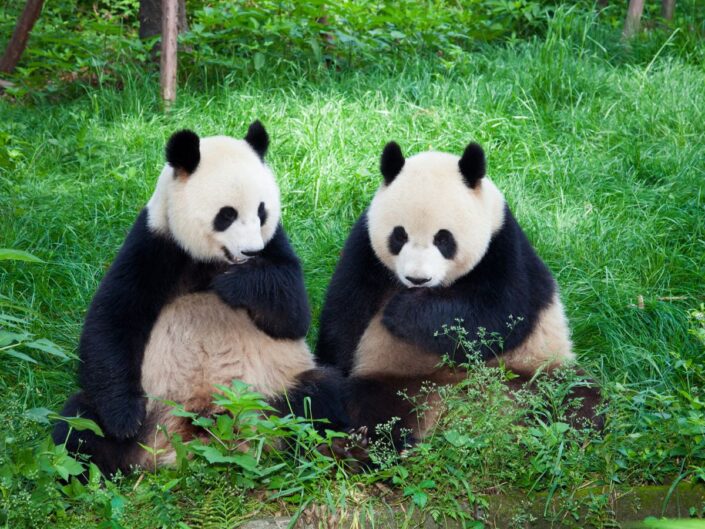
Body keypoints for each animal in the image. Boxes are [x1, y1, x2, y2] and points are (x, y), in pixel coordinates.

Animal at [52, 122, 348, 475]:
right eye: (227, 215)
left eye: (262, 211)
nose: (251, 252)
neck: (212, 260)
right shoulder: (155, 243)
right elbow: (112, 320)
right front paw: (124, 419)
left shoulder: (275, 243)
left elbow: (293, 314)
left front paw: (236, 284)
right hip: (152, 413)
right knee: (79, 423)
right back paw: (87, 469)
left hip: (272, 393)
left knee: (320, 396)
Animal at [316, 140, 601, 451]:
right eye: (399, 236)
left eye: (443, 239)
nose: (417, 279)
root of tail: (460, 404)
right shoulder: (364, 248)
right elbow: (344, 315)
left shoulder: (503, 246)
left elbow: (496, 317)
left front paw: (402, 311)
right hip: (397, 377)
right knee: (377, 406)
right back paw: (362, 442)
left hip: (533, 369)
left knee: (576, 396)